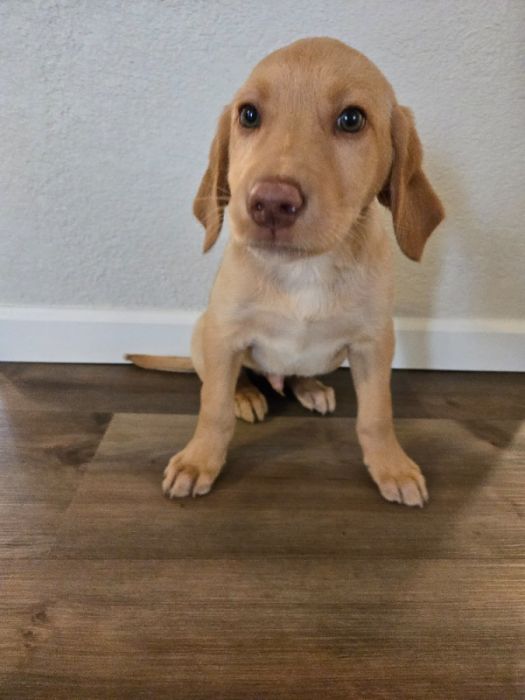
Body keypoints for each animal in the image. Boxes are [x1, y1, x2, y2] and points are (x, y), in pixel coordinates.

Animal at [127, 38, 442, 506]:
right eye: (248, 115)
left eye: (351, 119)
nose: (271, 202)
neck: (303, 268)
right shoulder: (225, 332)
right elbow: (213, 408)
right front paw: (199, 459)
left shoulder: (374, 343)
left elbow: (376, 415)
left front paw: (392, 465)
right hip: (204, 331)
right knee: (226, 379)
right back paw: (245, 394)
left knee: (296, 375)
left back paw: (310, 388)